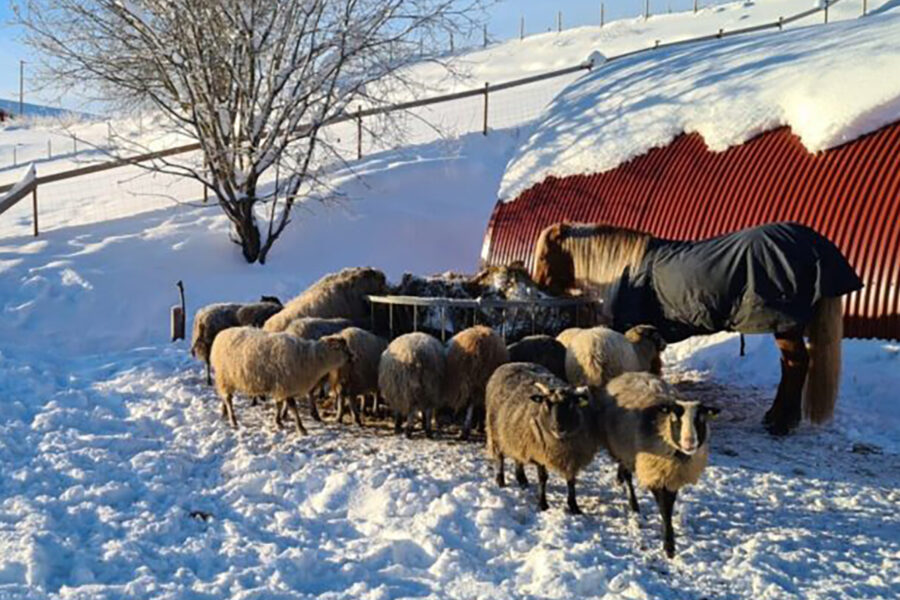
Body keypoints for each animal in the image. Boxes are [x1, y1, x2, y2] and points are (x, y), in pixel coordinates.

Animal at [210, 326, 352, 434]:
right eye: (342, 348)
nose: (353, 356)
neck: (311, 359)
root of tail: (220, 335)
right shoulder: (286, 385)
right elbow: (293, 408)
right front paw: (301, 428)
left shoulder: (280, 386)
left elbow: (279, 404)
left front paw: (278, 421)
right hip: (225, 376)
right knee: (228, 399)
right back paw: (233, 420)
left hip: (225, 379)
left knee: (225, 397)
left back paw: (224, 412)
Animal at [486, 364, 596, 512]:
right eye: (547, 404)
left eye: (570, 404)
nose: (558, 428)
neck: (560, 443)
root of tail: (510, 364)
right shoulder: (539, 452)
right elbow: (543, 478)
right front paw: (542, 504)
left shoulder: (572, 457)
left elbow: (571, 481)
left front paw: (574, 506)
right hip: (495, 432)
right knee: (499, 457)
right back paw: (500, 480)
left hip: (516, 434)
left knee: (517, 457)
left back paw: (522, 480)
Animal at [536, 220, 864, 436]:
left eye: (545, 255)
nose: (539, 290)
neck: (627, 269)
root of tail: (816, 244)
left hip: (784, 324)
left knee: (796, 365)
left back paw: (779, 422)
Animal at [600, 370, 720, 556]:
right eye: (676, 419)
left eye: (700, 420)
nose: (690, 442)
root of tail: (630, 373)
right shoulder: (654, 473)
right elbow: (664, 508)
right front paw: (668, 547)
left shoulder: (672, 477)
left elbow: (669, 506)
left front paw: (669, 541)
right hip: (621, 444)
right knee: (627, 474)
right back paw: (634, 505)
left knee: (624, 467)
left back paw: (620, 480)